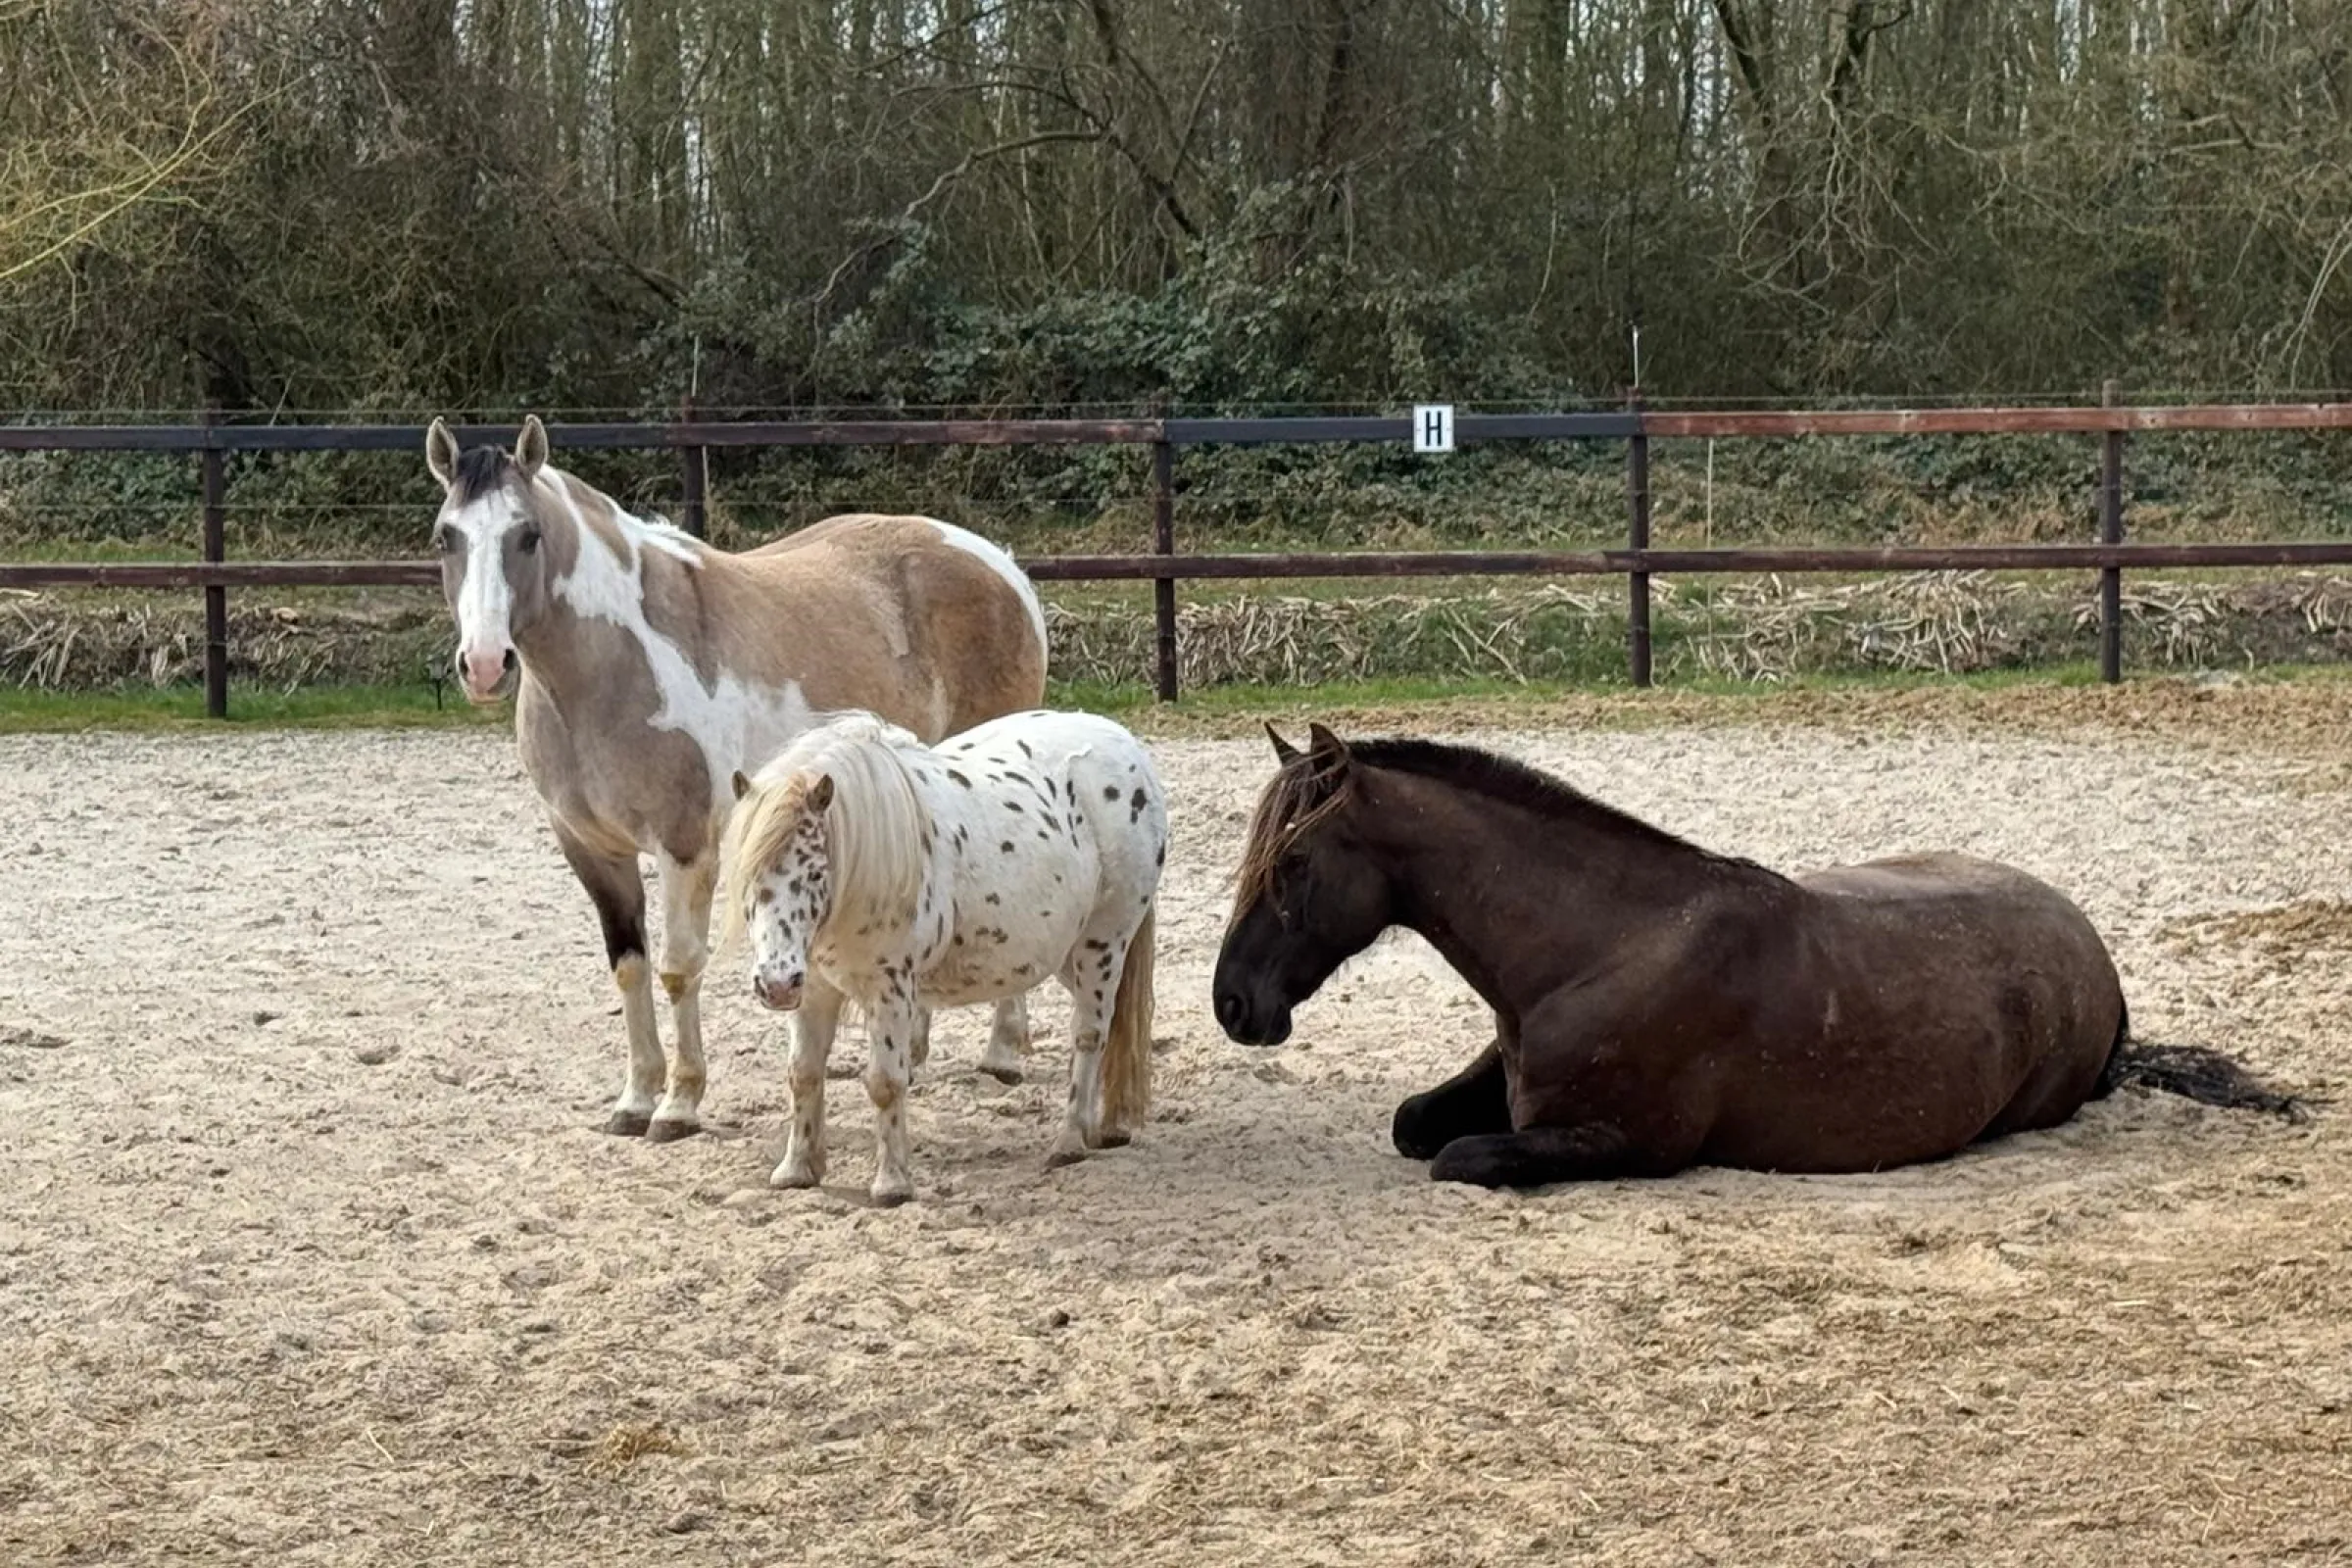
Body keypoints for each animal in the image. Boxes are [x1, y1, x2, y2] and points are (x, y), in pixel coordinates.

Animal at [424, 415, 1047, 1144]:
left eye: (527, 535)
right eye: (446, 536)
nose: (484, 664)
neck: (613, 667)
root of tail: (999, 564)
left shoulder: (686, 848)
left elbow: (677, 968)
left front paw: (680, 1103)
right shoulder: (593, 851)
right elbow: (629, 968)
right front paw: (636, 1098)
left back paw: (1003, 1052)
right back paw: (916, 1052)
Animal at [716, 708, 1167, 1205]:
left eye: (815, 872)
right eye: (746, 874)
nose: (775, 985)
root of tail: (1125, 745)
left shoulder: (889, 988)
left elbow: (886, 1082)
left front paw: (893, 1183)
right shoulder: (813, 988)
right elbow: (804, 1073)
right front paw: (797, 1169)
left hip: (1103, 943)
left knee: (1089, 1035)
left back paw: (1069, 1140)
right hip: (1066, 954)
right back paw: (1094, 1128)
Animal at [1211, 723, 2292, 1189]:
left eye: (1294, 862)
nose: (1232, 1005)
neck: (1595, 947)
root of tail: (2096, 956)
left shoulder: (1630, 1143)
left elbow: (1458, 1157)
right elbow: (1412, 1124)